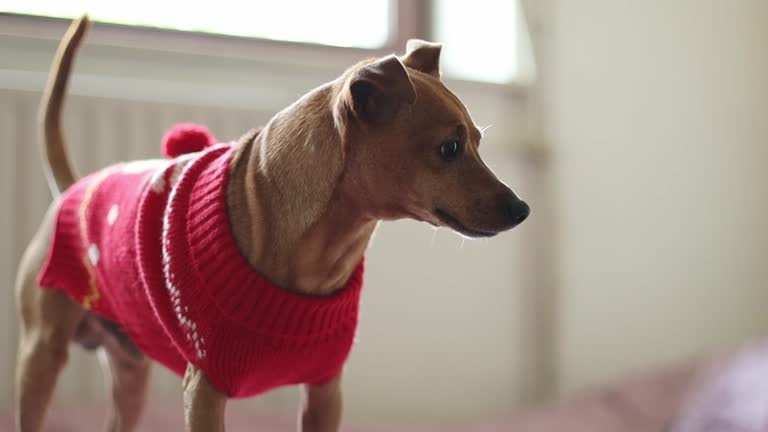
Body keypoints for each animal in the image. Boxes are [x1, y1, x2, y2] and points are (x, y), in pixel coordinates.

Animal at [15, 15, 528, 430]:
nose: (522, 209)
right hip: (41, 356)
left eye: (478, 141)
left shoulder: (324, 391)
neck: (322, 253)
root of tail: (73, 188)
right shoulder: (205, 391)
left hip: (129, 374)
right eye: (450, 149)